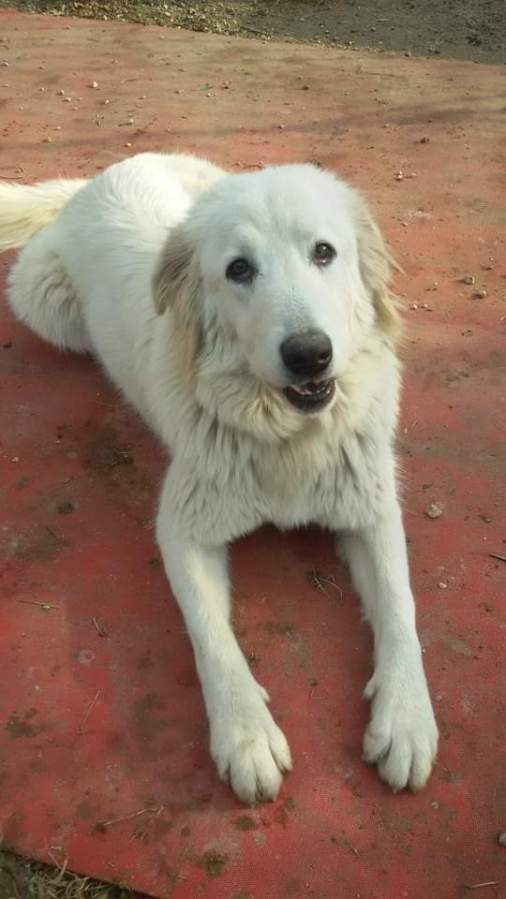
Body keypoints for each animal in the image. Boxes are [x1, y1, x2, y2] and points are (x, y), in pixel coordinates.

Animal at [0, 152, 438, 803]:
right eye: (239, 269)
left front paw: (407, 717)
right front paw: (245, 734)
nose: (309, 354)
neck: (288, 435)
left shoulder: (372, 510)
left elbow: (400, 606)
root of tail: (104, 174)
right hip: (45, 301)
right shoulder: (183, 529)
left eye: (324, 253)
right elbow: (212, 637)